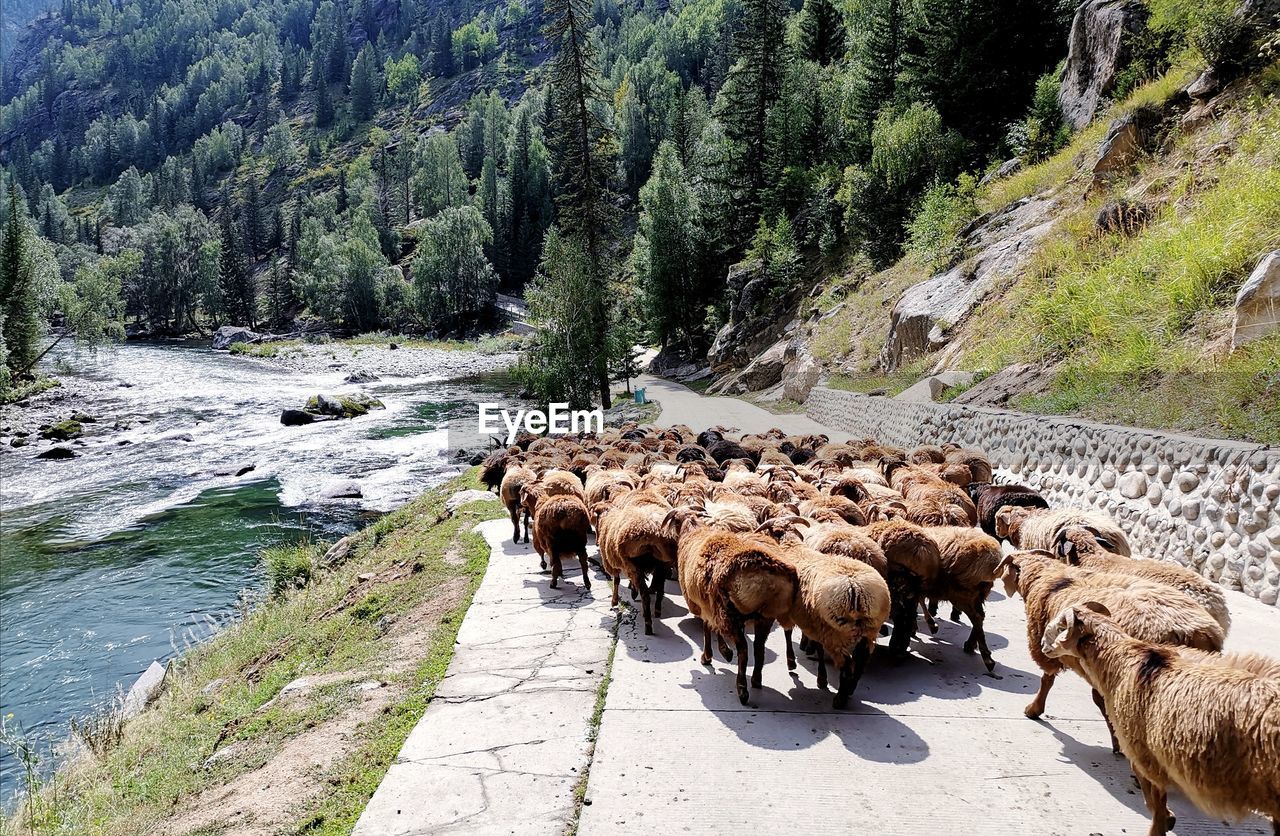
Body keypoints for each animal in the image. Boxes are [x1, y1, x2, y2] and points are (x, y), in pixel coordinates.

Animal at [665, 504, 793, 701]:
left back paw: (742, 689)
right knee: (759, 648)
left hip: (728, 611)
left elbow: (708, 629)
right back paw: (756, 679)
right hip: (765, 616)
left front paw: (713, 655)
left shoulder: (707, 605)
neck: (693, 531)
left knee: (744, 650)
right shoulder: (710, 604)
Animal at [1039, 599, 1280, 834]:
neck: (1125, 663)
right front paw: (1168, 818)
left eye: (1061, 626)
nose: (1042, 645)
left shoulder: (1143, 751)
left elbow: (1154, 798)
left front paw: (1164, 822)